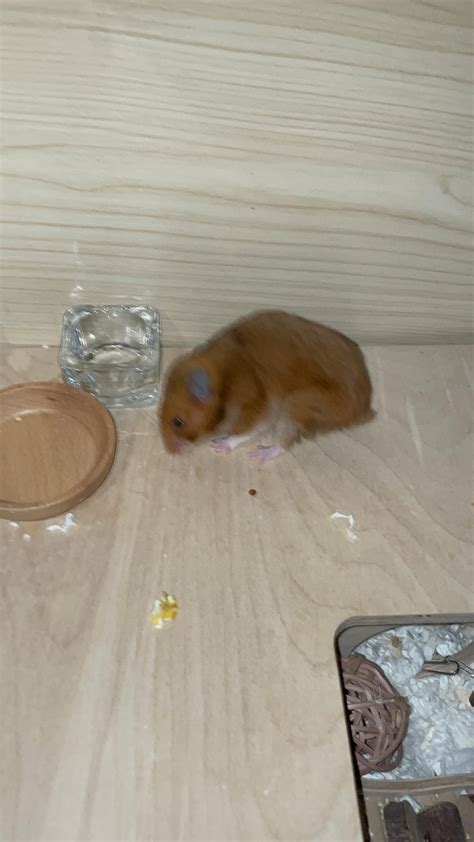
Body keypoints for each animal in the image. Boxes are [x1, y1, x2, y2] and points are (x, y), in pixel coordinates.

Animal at [159, 310, 374, 461]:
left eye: (177, 422)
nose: (170, 452)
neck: (227, 380)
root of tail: (366, 408)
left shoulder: (256, 407)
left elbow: (244, 432)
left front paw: (218, 445)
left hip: (296, 406)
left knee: (283, 443)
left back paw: (259, 454)